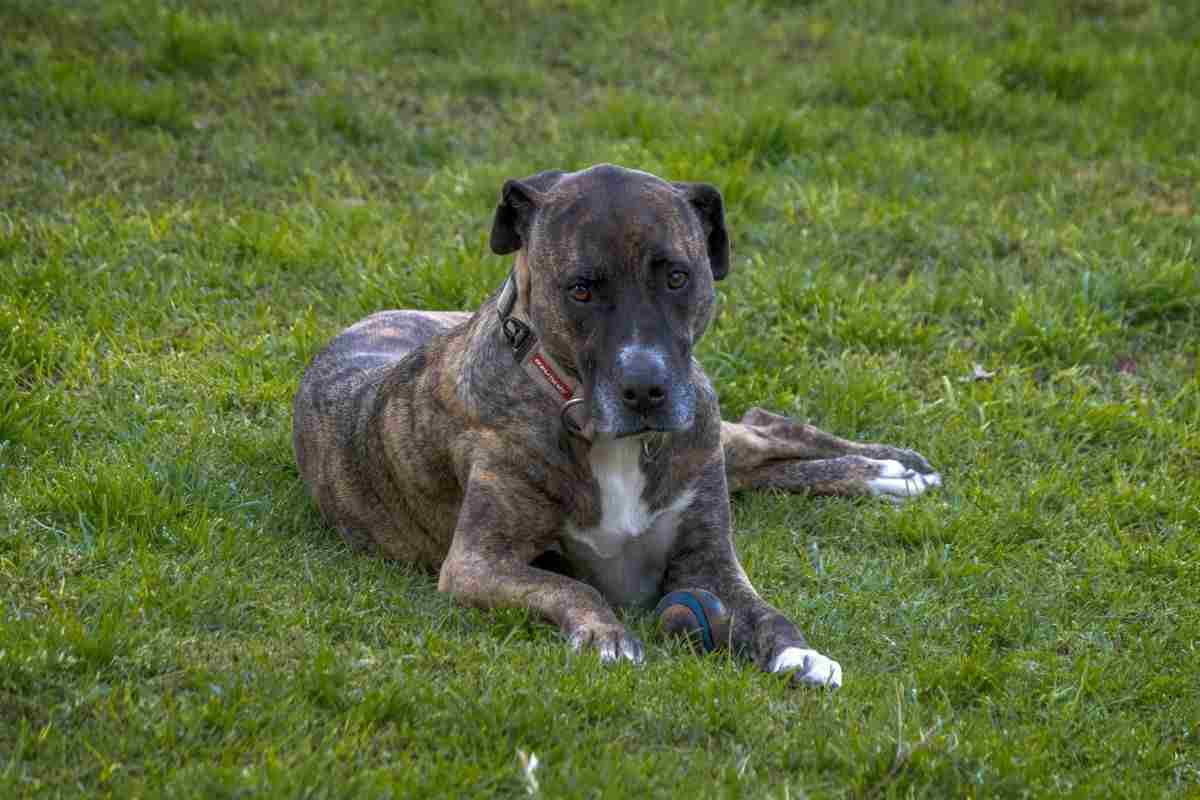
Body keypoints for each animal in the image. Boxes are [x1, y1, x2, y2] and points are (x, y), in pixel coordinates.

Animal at [292, 164, 936, 690]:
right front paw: (606, 636)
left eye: (677, 277)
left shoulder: (709, 559)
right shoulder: (477, 563)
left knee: (766, 428)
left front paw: (798, 653)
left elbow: (763, 609)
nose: (646, 389)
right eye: (581, 289)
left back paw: (890, 469)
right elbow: (571, 584)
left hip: (704, 422)